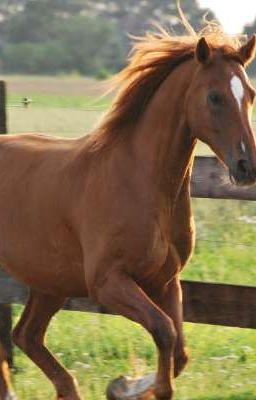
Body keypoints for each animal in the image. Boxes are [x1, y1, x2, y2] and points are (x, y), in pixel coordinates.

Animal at [0, 26, 256, 398]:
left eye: (250, 94)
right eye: (214, 97)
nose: (246, 167)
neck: (140, 181)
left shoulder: (165, 280)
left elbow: (179, 351)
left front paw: (122, 385)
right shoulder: (108, 282)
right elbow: (164, 331)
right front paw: (132, 386)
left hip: (50, 281)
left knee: (26, 335)